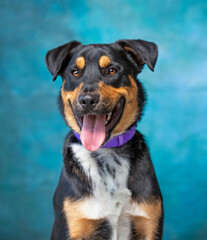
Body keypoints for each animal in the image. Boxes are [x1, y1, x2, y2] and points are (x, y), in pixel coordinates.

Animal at [45, 39, 163, 240]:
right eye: (75, 72)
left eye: (112, 70)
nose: (87, 100)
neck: (108, 152)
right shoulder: (75, 224)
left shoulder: (148, 223)